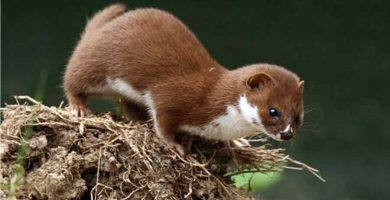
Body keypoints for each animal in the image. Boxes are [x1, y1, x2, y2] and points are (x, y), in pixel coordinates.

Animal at [63, 4, 304, 155]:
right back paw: (79, 108)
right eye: (273, 111)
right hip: (94, 64)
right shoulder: (172, 96)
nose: (287, 134)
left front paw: (236, 141)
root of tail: (99, 31)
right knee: (73, 80)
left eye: (298, 116)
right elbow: (162, 122)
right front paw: (174, 144)